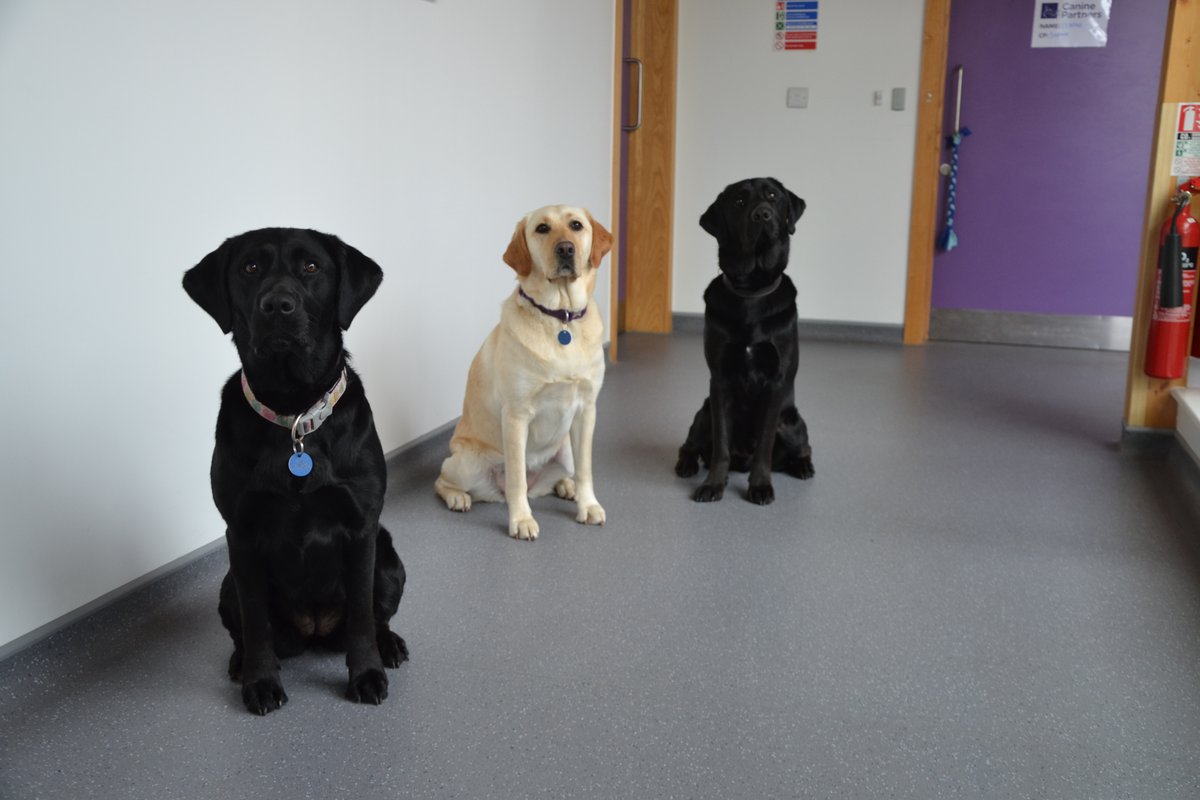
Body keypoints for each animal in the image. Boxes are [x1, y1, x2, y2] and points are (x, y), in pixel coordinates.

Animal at [182, 227, 408, 714]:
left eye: (311, 267)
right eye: (250, 267)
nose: (278, 306)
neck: (294, 415)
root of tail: (314, 629)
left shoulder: (362, 529)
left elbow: (362, 617)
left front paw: (367, 674)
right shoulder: (241, 534)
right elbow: (256, 623)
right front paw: (260, 681)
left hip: (388, 560)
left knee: (376, 616)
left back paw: (390, 645)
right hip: (227, 585)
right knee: (245, 628)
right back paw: (239, 662)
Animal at [676, 179, 816, 506]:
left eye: (773, 196)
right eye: (739, 201)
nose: (762, 214)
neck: (752, 289)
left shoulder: (776, 383)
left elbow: (764, 445)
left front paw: (760, 486)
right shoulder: (719, 381)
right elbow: (721, 446)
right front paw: (713, 485)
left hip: (792, 423)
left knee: (802, 448)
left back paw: (803, 466)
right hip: (704, 412)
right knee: (690, 445)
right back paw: (687, 464)